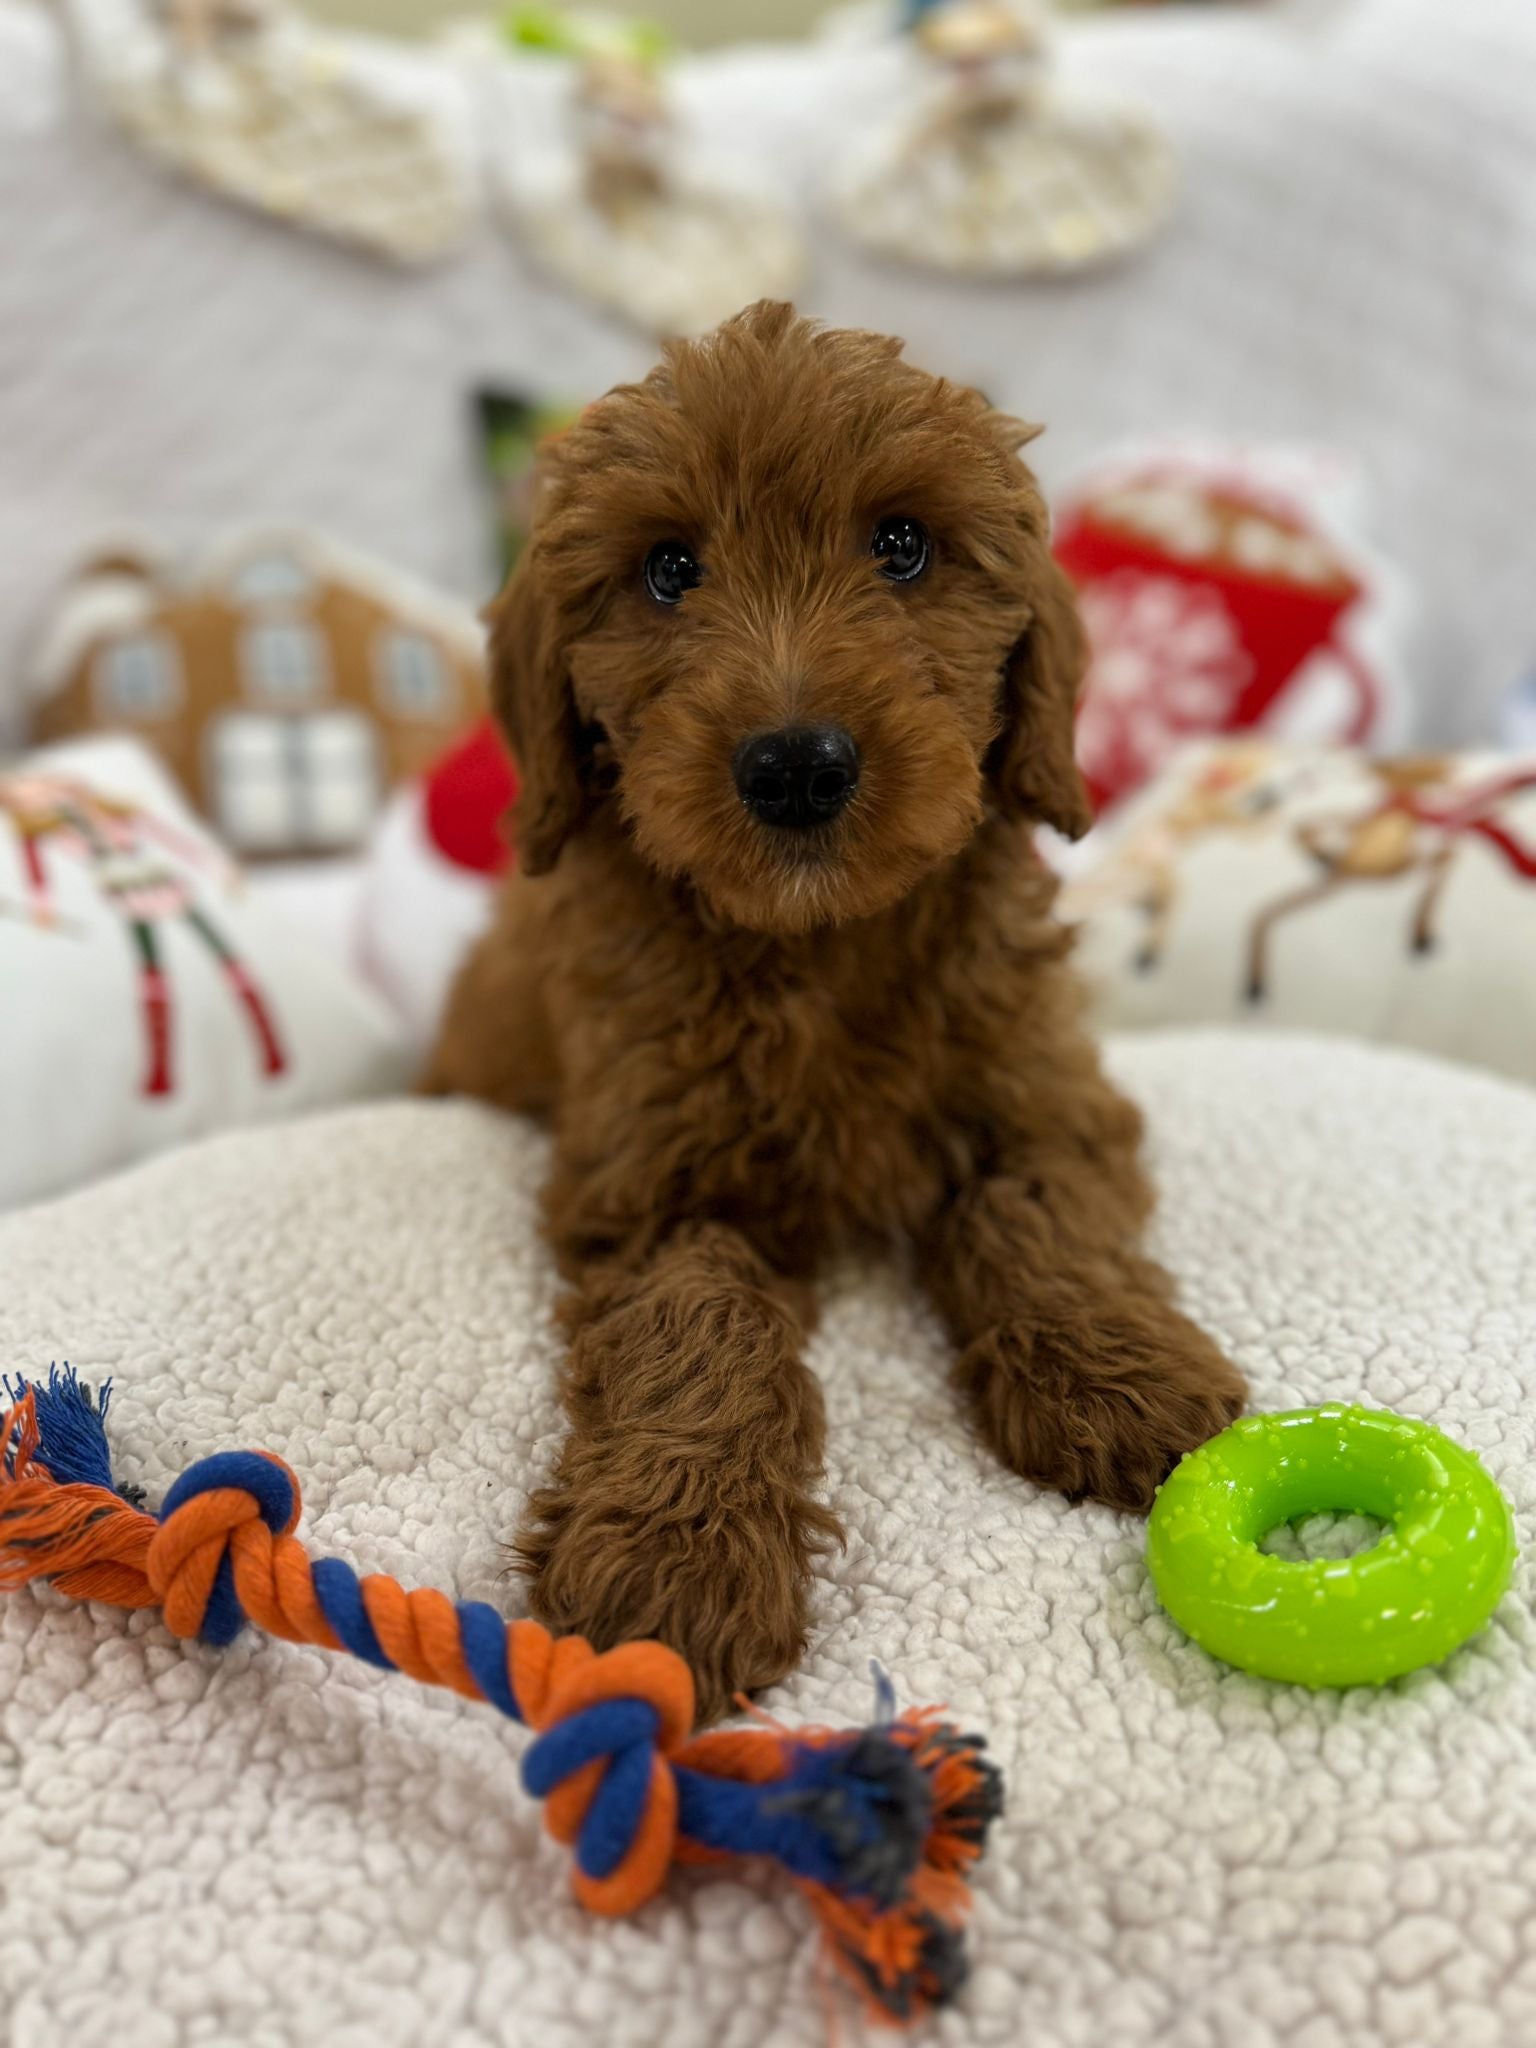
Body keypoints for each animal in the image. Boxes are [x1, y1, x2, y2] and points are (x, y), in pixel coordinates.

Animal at [428, 299, 1245, 1712]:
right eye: (668, 569)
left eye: (903, 544)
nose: (798, 764)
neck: (816, 942)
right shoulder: (649, 1175)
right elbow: (700, 1319)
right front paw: (677, 1556)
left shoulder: (1044, 1087)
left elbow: (1041, 1208)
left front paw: (1126, 1378)